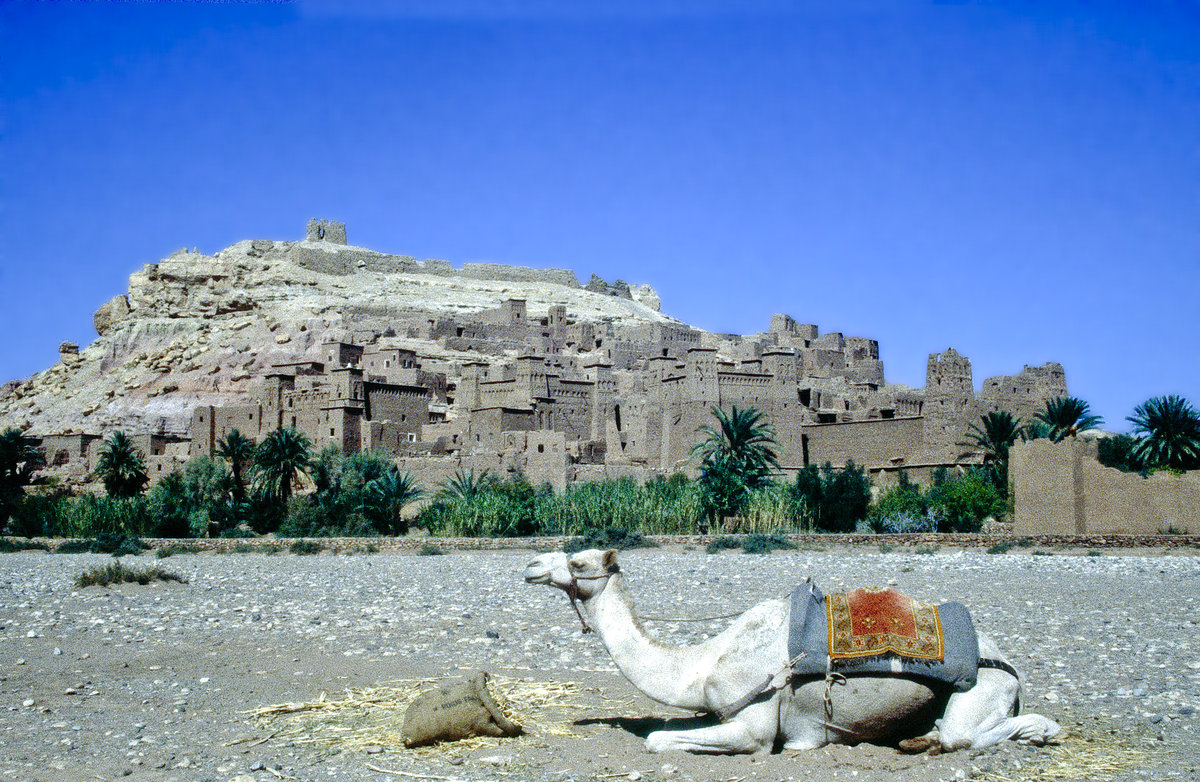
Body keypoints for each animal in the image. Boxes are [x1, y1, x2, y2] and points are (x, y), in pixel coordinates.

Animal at [525, 546, 1060, 753]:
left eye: (579, 562)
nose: (531, 566)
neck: (701, 666)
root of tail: (1007, 662)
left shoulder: (755, 727)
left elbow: (657, 740)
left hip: (983, 685)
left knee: (964, 734)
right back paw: (915, 737)